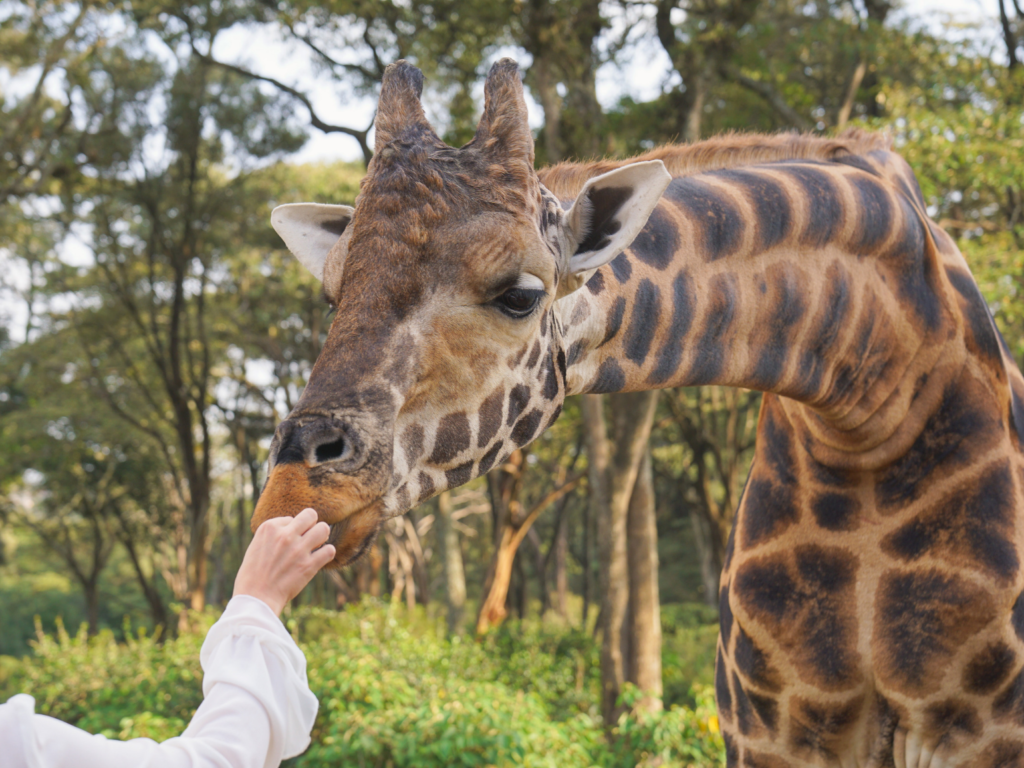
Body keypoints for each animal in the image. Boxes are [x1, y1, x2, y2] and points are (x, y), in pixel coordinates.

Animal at [251, 57, 1024, 765]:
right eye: (334, 296)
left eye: (520, 295)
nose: (291, 492)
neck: (874, 405)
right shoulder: (771, 731)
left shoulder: (979, 736)